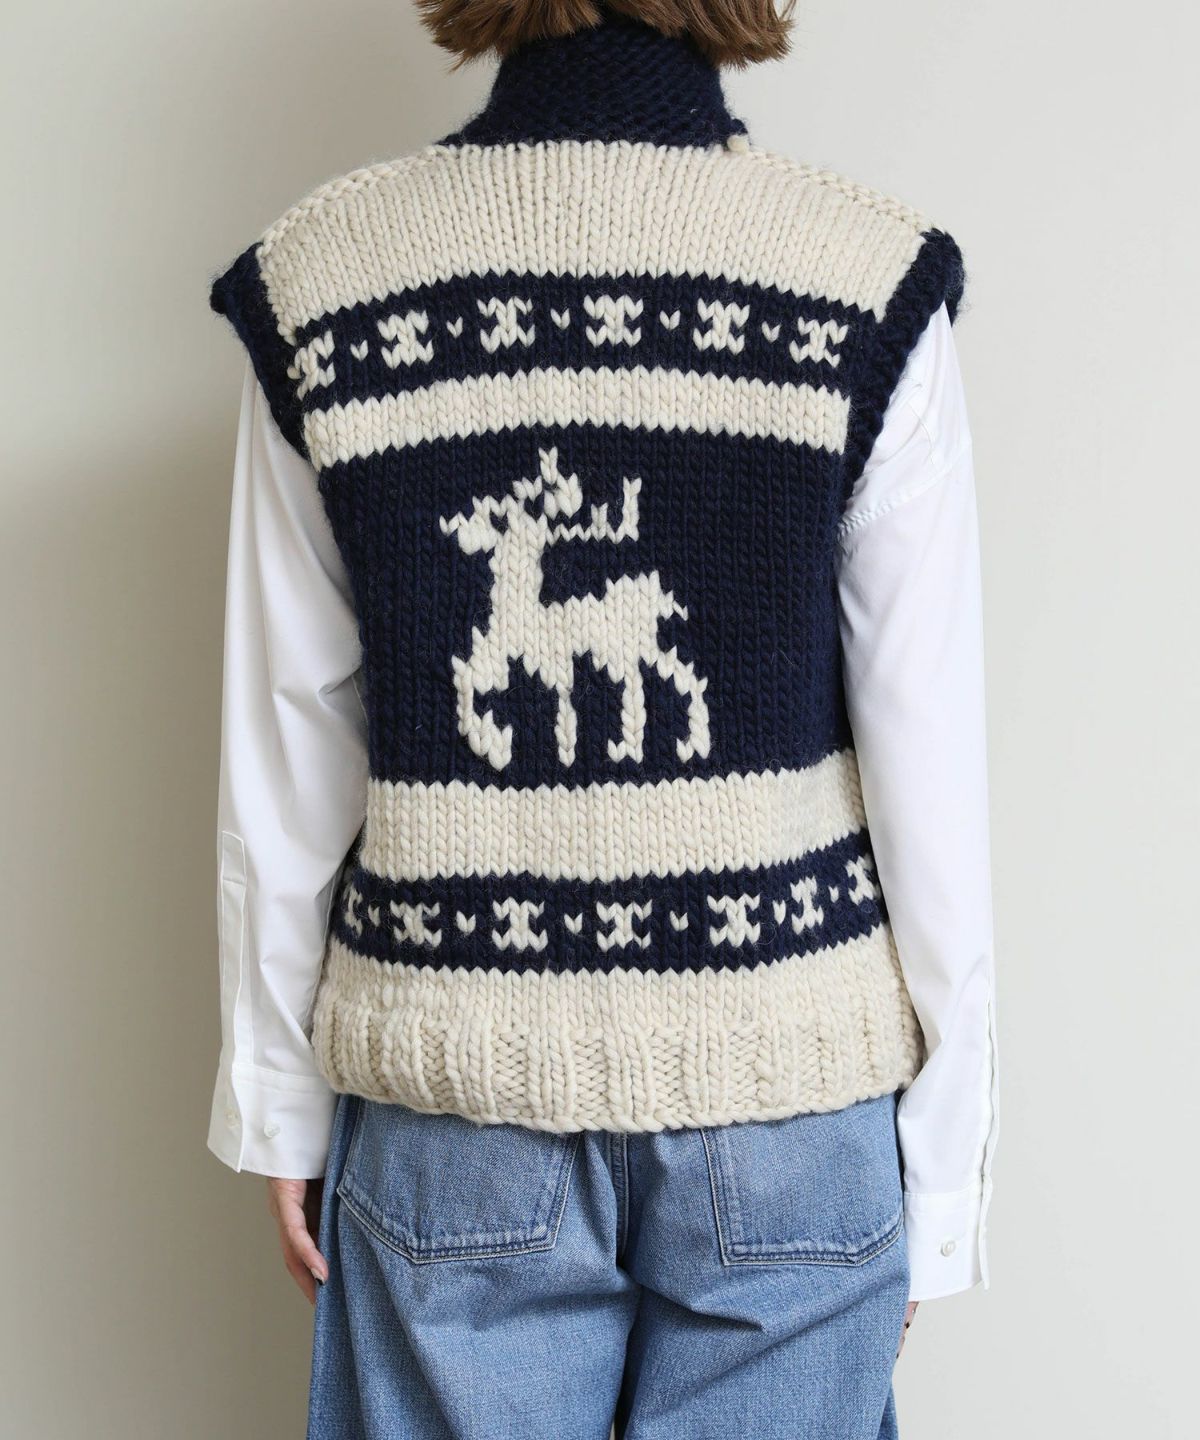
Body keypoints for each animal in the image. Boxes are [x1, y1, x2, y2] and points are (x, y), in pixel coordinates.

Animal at [439, 448, 711, 770]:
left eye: (495, 521)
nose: (458, 531)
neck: (523, 607)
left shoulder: (544, 662)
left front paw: (501, 741)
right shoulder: (503, 657)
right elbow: (472, 674)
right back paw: (643, 745)